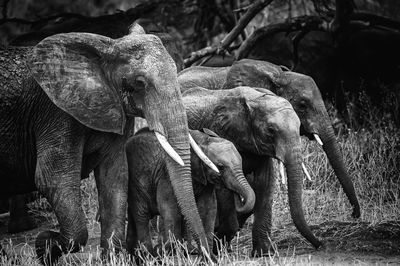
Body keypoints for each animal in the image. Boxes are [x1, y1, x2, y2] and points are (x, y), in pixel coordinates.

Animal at [0, 27, 212, 264]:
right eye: (140, 82)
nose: (206, 255)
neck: (107, 48)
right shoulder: (55, 113)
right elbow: (52, 179)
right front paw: (44, 244)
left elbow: (115, 176)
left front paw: (111, 260)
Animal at [126, 128, 255, 256]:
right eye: (220, 167)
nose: (236, 194)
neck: (202, 140)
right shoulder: (166, 176)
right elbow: (169, 209)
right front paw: (167, 252)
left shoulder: (205, 181)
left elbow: (208, 208)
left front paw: (206, 255)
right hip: (136, 182)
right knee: (141, 215)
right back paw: (148, 254)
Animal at [181, 86, 322, 255]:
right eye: (271, 130)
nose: (320, 245)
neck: (254, 100)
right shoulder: (219, 130)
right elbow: (224, 189)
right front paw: (218, 244)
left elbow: (265, 183)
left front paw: (264, 253)